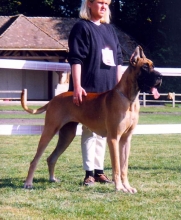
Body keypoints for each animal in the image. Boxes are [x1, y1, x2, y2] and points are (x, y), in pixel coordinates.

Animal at [20, 46, 161, 192]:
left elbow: (124, 167)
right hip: (49, 130)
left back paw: (52, 178)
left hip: (67, 136)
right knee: (35, 160)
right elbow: (116, 167)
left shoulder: (126, 140)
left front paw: (127, 186)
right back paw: (28, 183)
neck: (128, 98)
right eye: (145, 67)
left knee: (51, 158)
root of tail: (53, 99)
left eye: (153, 66)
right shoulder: (113, 138)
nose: (160, 77)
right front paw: (119, 187)